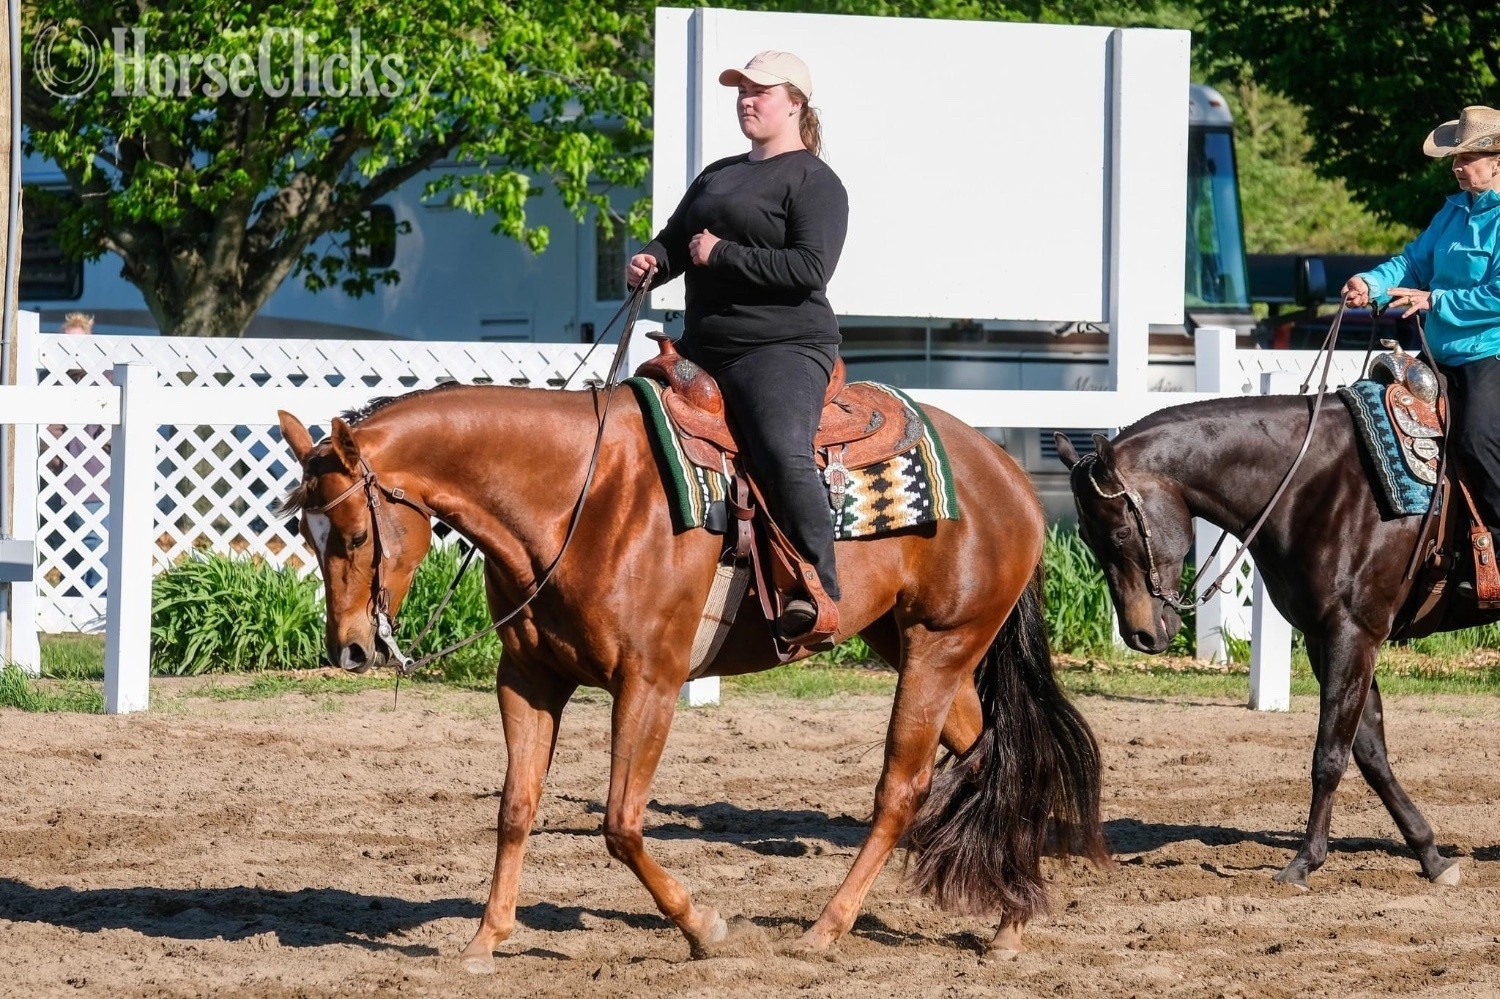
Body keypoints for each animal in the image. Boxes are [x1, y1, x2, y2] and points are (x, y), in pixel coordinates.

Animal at [275, 380, 1107, 971]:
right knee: (995, 755)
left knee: (904, 788)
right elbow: (516, 807)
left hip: (941, 646)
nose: (350, 649)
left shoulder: (649, 682)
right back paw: (1010, 917)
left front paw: (703, 927)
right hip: (912, 645)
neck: (579, 496)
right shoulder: (528, 677)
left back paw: (826, 929)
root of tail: (1007, 472)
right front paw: (486, 937)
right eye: (303, 533)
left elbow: (620, 821)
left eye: (354, 533)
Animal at [1055, 394, 1488, 889]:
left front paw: (1304, 862)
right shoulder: (1326, 639)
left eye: (1121, 532)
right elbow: (1368, 751)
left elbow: (1330, 754)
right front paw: (1430, 853)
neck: (1319, 483)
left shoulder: (1353, 633)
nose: (1139, 634)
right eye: (1086, 536)